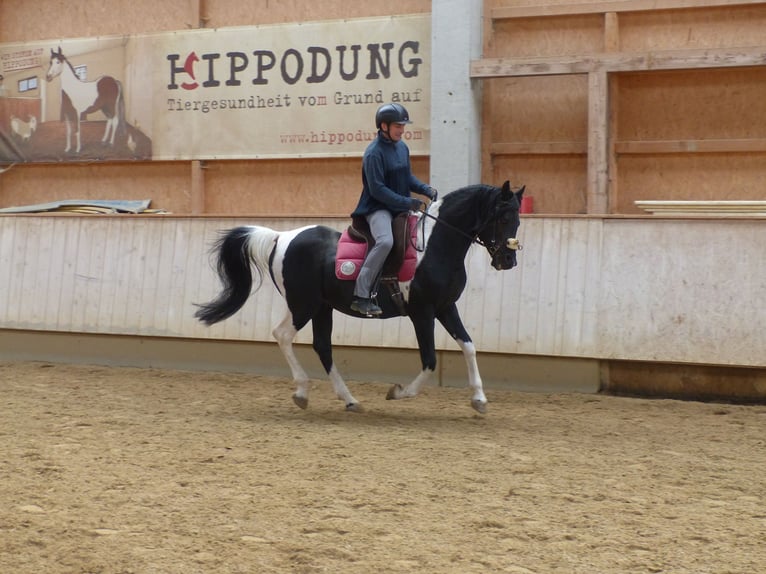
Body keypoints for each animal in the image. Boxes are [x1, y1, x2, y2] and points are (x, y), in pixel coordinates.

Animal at [195, 181, 525, 414]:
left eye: (517, 219)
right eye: (502, 217)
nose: (508, 260)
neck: (434, 246)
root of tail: (280, 237)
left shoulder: (445, 307)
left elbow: (469, 347)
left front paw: (479, 399)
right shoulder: (422, 312)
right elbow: (430, 360)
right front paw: (398, 392)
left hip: (320, 307)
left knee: (322, 346)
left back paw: (349, 399)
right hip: (304, 305)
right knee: (283, 335)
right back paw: (302, 391)